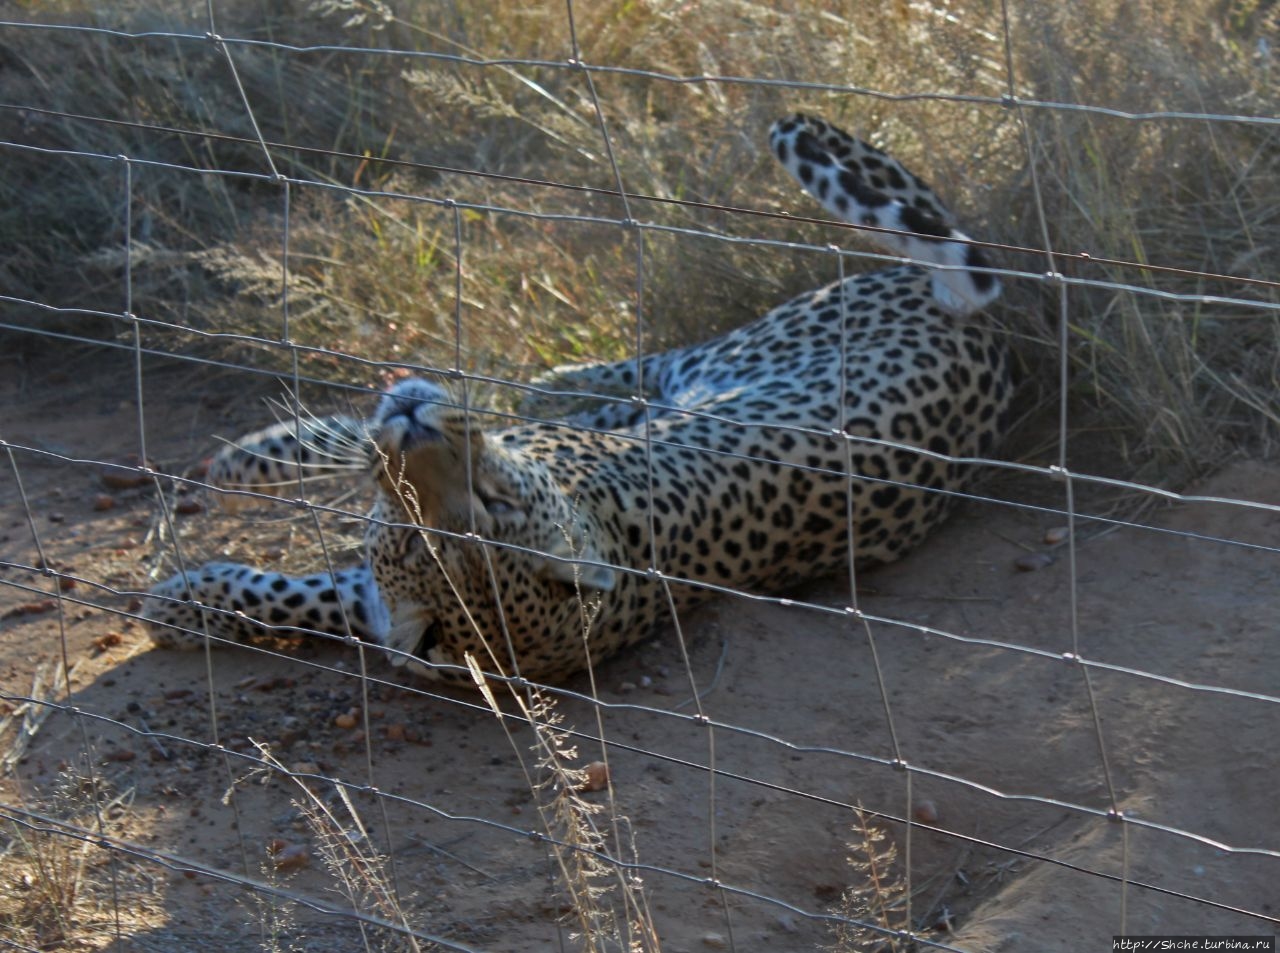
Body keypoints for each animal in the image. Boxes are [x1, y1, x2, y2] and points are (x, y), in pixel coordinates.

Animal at [145, 113, 1013, 685]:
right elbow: (301, 593)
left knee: (624, 375)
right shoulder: (385, 595)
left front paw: (177, 599)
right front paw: (190, 603)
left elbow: (313, 579)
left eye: (494, 504)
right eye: (419, 538)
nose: (416, 423)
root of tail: (993, 342)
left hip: (745, 345)